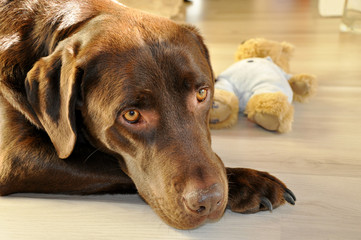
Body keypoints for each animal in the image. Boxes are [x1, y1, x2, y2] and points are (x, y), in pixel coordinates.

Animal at [0, 0, 294, 230]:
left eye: (202, 94)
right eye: (131, 115)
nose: (209, 201)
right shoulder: (15, 158)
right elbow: (108, 164)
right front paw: (249, 183)